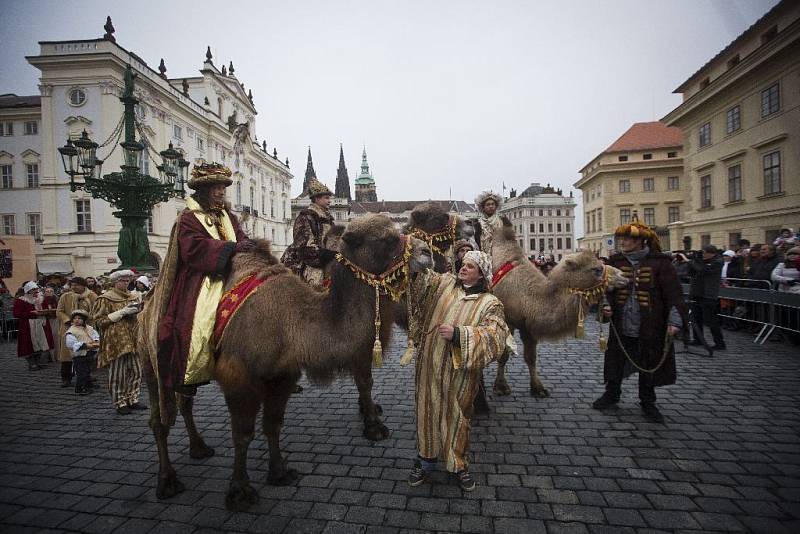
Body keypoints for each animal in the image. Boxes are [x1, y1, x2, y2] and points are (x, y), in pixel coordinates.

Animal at [141, 216, 434, 512]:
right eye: (386, 239)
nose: (427, 253)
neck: (292, 322)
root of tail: (150, 299)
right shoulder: (239, 377)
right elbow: (243, 435)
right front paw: (240, 491)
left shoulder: (283, 374)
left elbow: (273, 424)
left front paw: (280, 472)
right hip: (152, 361)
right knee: (159, 419)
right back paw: (167, 481)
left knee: (185, 402)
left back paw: (199, 448)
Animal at [478, 224, 628, 400]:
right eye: (597, 269)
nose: (624, 276)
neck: (527, 296)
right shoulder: (506, 321)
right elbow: (503, 355)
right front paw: (501, 387)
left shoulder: (528, 326)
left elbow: (531, 357)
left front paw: (538, 389)